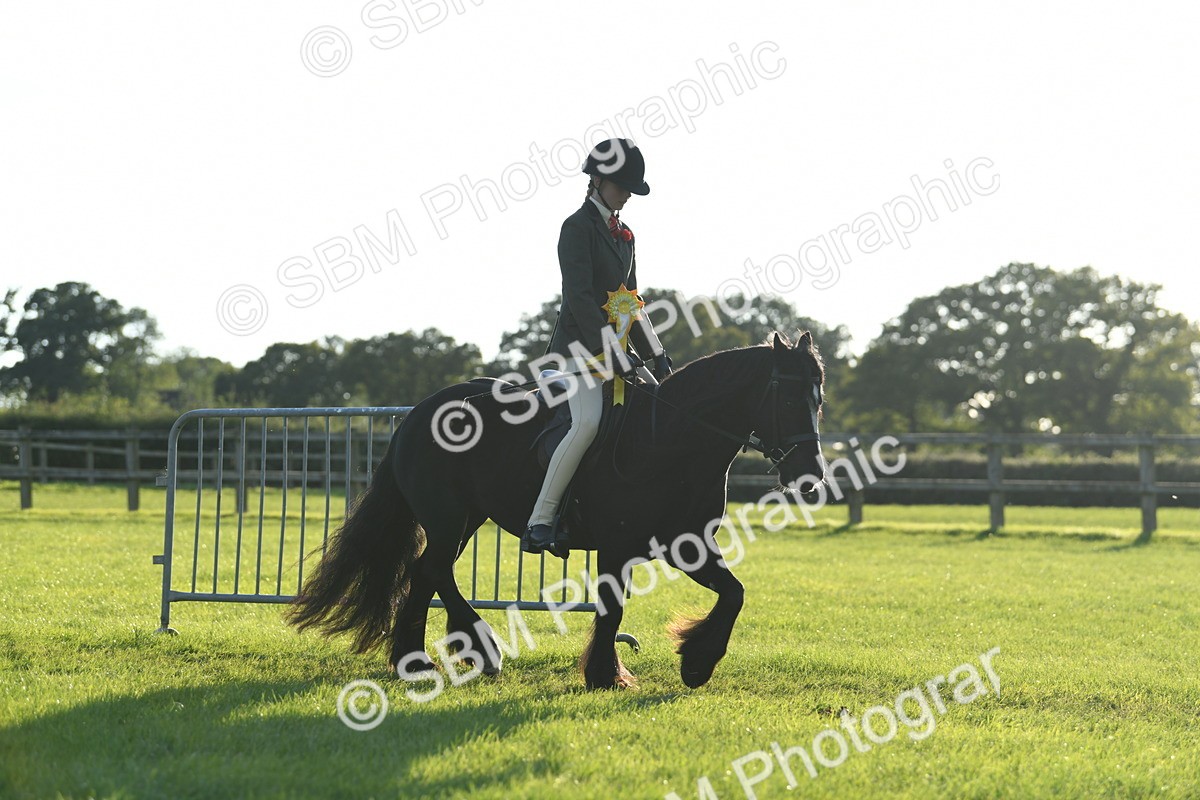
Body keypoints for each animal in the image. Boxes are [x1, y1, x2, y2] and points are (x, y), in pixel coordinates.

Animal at [287, 331, 826, 690]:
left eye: (819, 398)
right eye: (789, 397)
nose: (811, 474)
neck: (669, 439)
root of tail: (420, 412)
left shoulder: (686, 544)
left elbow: (733, 593)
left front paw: (695, 663)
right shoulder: (618, 546)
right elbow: (612, 608)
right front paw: (607, 676)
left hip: (465, 519)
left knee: (427, 573)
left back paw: (434, 658)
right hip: (446, 518)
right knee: (431, 572)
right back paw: (451, 656)